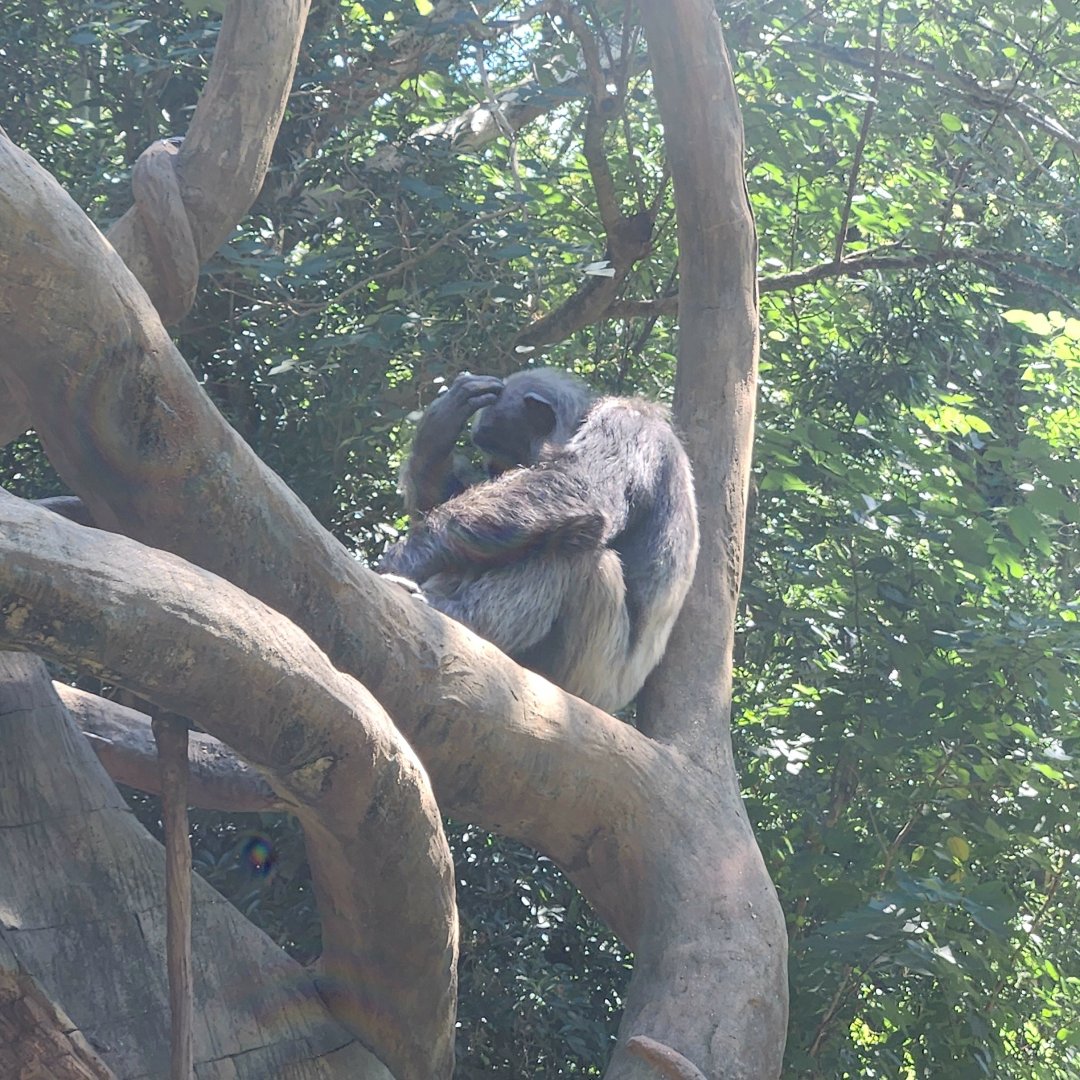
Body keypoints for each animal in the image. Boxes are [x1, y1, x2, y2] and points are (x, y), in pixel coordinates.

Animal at [378, 368, 699, 713]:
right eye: (494, 468)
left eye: (506, 462)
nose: (492, 471)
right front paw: (439, 428)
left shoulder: (626, 426)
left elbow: (578, 485)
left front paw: (409, 555)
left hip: (586, 676)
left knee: (578, 552)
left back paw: (459, 614)